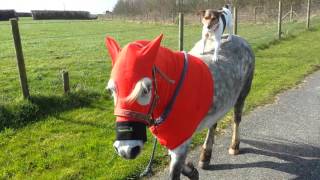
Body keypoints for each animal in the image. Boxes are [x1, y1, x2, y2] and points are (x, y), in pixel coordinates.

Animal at [105, 34, 255, 179]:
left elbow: (175, 170)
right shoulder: (172, 138)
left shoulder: (180, 142)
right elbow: (174, 160)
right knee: (213, 124)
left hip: (242, 94)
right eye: (112, 90)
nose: (126, 150)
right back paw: (205, 156)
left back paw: (234, 146)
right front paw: (192, 171)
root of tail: (240, 39)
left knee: (237, 119)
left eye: (146, 89)